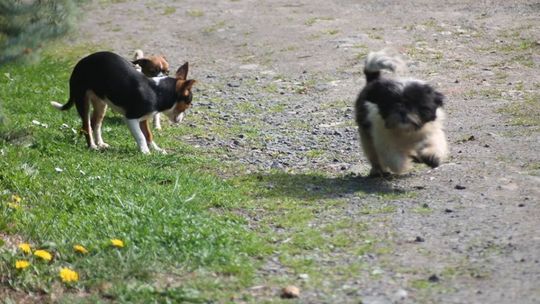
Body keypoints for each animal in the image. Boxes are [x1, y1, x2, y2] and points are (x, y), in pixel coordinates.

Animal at [50, 51, 196, 154]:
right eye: (188, 104)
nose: (181, 120)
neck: (157, 91)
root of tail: (81, 62)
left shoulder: (144, 119)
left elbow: (148, 135)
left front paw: (156, 149)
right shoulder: (131, 118)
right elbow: (141, 136)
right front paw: (145, 152)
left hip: (101, 103)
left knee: (95, 124)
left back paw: (99, 143)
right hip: (83, 100)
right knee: (87, 125)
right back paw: (92, 146)